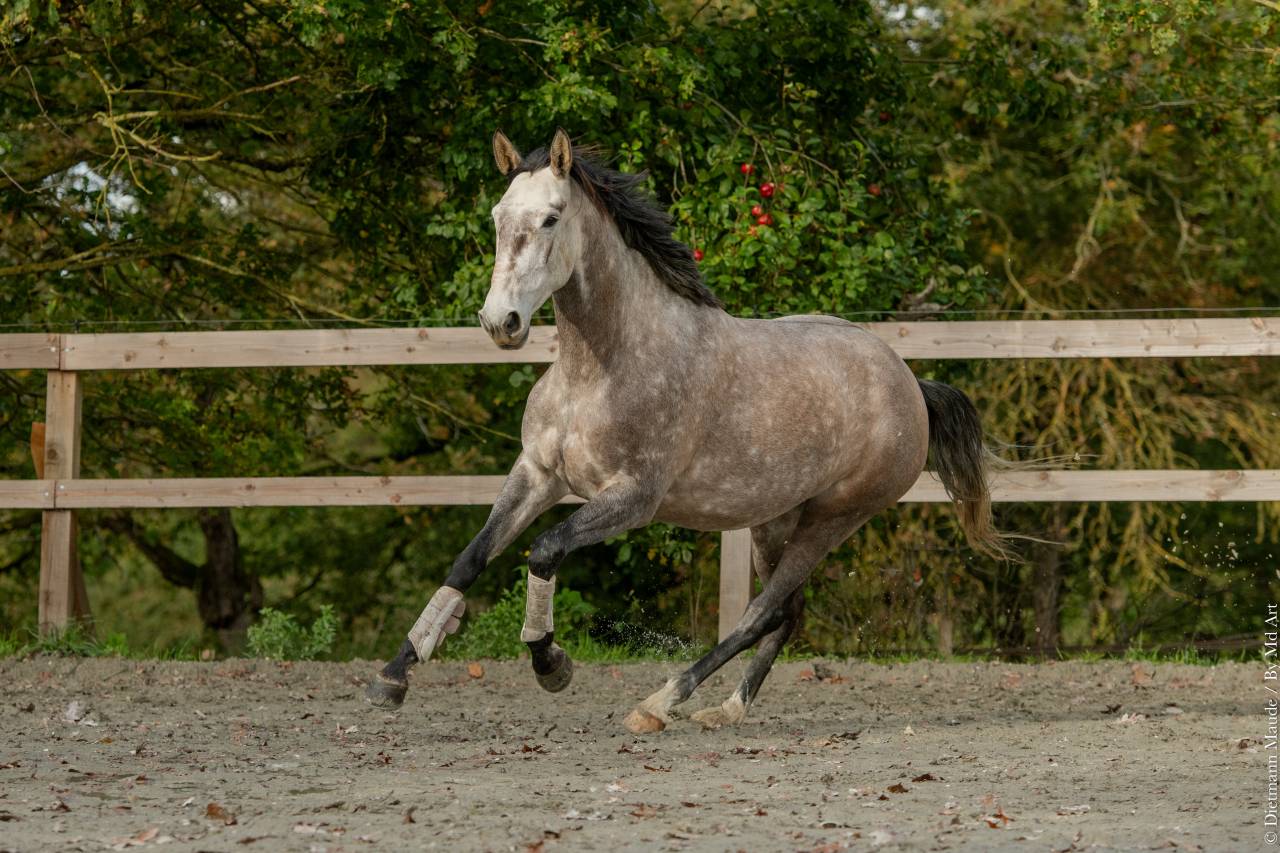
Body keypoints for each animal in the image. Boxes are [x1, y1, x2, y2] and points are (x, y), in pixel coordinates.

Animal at [366, 129, 1012, 732]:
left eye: (551, 218)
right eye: (498, 217)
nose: (501, 323)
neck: (600, 366)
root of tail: (909, 383)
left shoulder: (633, 498)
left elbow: (544, 551)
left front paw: (552, 664)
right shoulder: (538, 474)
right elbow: (470, 559)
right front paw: (392, 677)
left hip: (834, 518)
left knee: (761, 614)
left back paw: (660, 702)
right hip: (775, 520)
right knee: (788, 614)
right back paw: (725, 709)